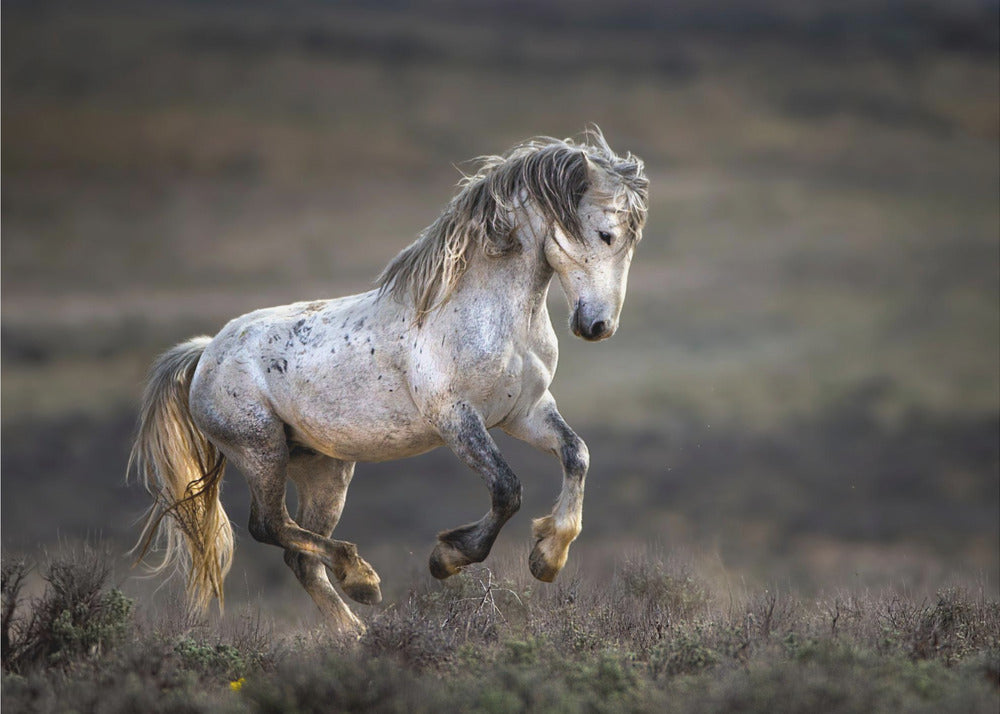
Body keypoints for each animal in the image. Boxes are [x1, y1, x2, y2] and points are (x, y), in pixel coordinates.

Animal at [130, 129, 648, 632]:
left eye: (631, 242)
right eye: (605, 233)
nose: (598, 326)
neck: (492, 315)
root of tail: (205, 353)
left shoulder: (525, 412)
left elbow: (576, 455)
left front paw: (547, 558)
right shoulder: (456, 419)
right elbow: (506, 489)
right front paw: (447, 558)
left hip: (323, 468)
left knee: (300, 556)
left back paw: (356, 633)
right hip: (261, 451)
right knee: (269, 526)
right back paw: (361, 576)